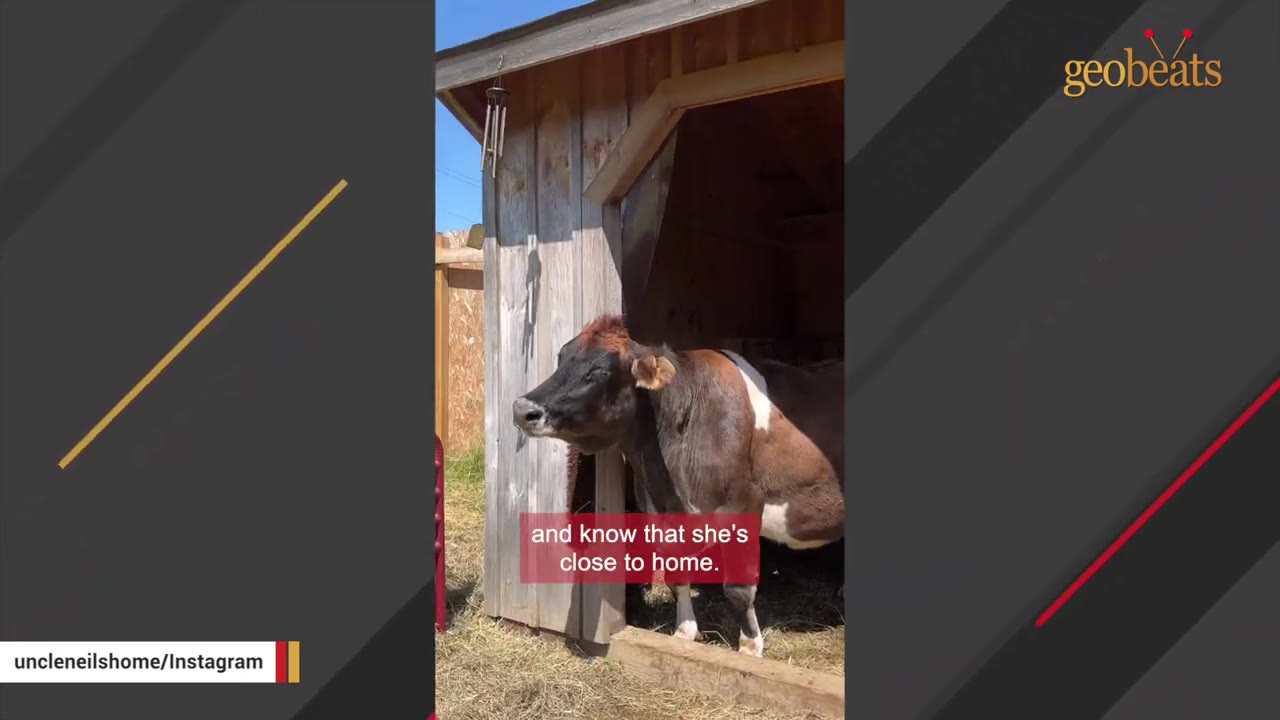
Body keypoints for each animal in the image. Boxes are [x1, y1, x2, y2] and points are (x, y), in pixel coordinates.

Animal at [511, 314, 844, 658]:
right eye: (561, 358)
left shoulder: (743, 502)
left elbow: (738, 588)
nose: (523, 409)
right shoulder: (657, 507)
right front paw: (684, 632)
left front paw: (750, 647)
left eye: (601, 371)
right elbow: (676, 573)